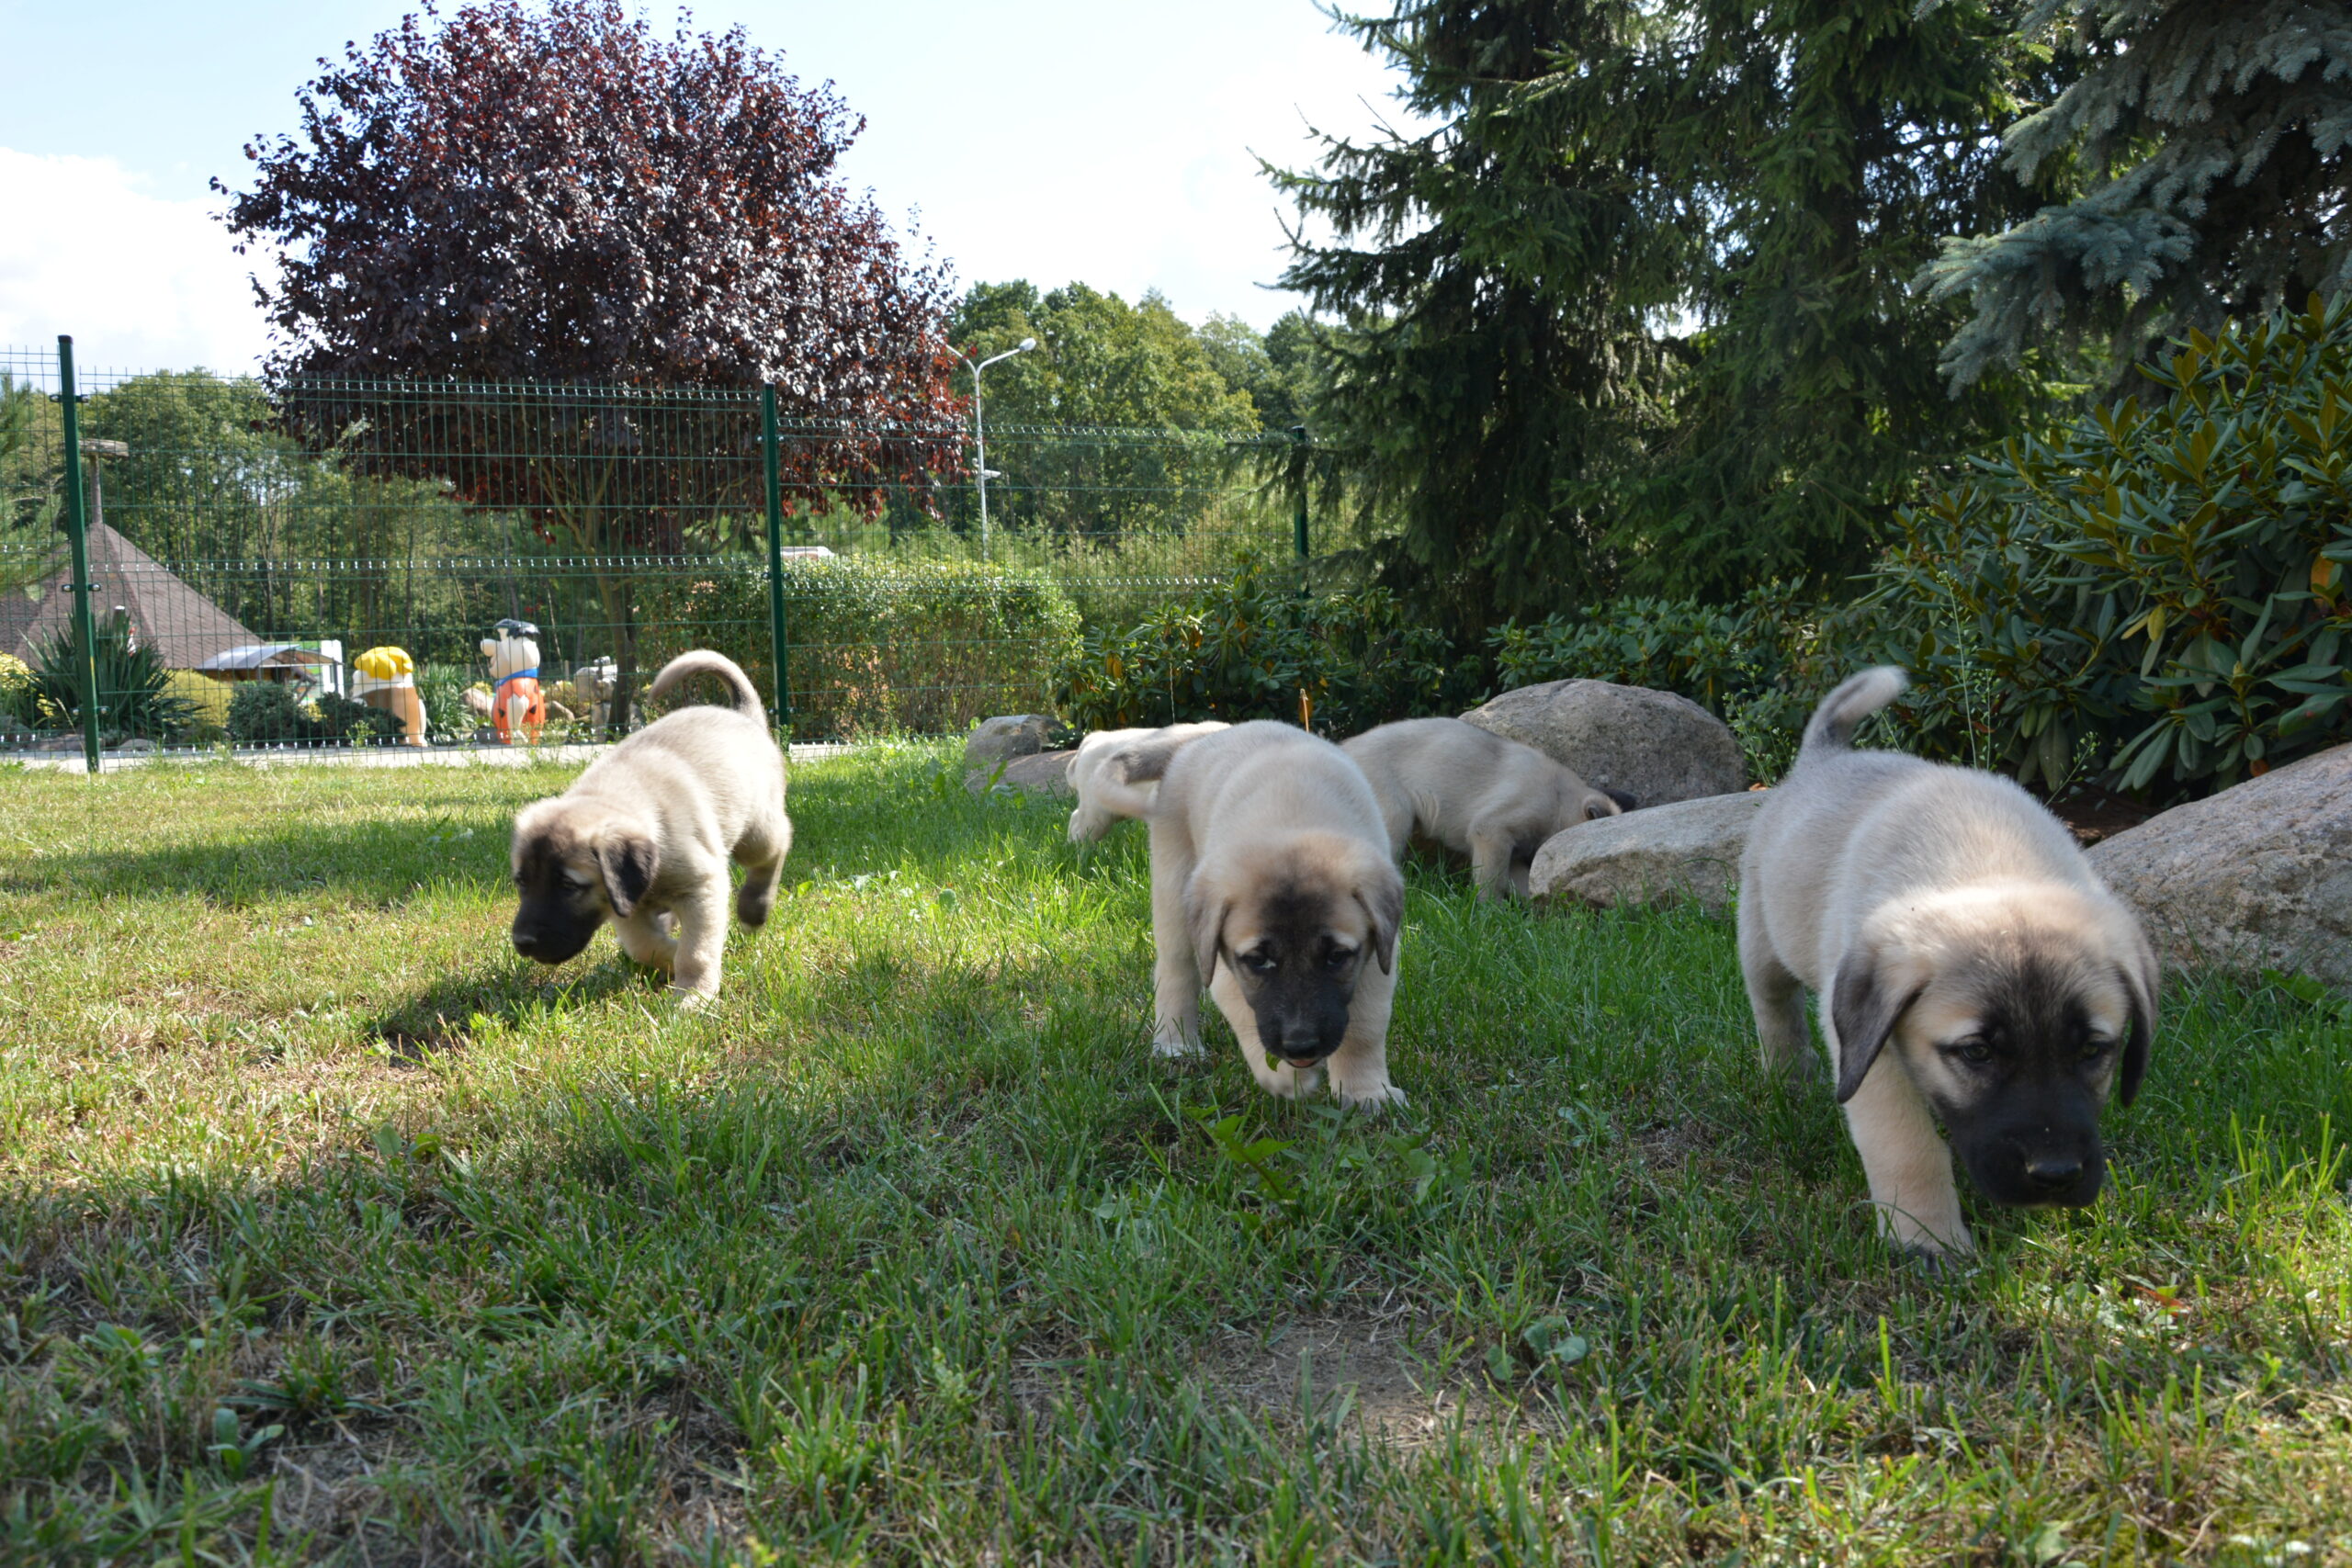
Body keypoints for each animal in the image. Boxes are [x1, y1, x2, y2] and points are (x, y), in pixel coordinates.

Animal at [508, 651, 790, 1005]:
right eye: (521, 882)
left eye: (568, 885)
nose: (522, 942)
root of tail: (745, 716)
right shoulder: (625, 905)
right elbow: (644, 945)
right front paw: (667, 960)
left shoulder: (702, 888)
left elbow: (695, 951)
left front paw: (693, 996)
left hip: (755, 832)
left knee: (778, 844)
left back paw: (755, 907)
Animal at [1136, 720, 1408, 1107]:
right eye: (1258, 961)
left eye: (1336, 957)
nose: (1301, 1046)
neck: (1292, 822)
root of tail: (1203, 737)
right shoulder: (1226, 969)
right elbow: (1246, 1017)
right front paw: (1285, 1078)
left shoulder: (1376, 955)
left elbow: (1365, 1029)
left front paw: (1365, 1092)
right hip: (1174, 892)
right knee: (1176, 971)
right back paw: (1177, 1045)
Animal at [1343, 717, 1631, 900]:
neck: (1559, 798)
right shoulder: (1492, 833)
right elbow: (1492, 881)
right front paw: (1492, 912)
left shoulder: (1511, 851)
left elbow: (1521, 882)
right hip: (1394, 817)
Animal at [1737, 667, 2156, 1258]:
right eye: (1976, 1052)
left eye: (2095, 1050)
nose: (2055, 1176)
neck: (1990, 864)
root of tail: (1824, 756)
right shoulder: (1870, 1055)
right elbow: (1907, 1147)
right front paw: (1928, 1239)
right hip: (1762, 939)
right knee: (1774, 1009)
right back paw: (1789, 1076)